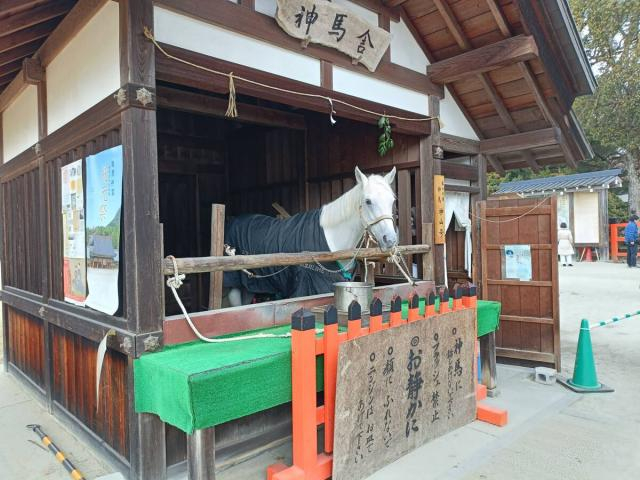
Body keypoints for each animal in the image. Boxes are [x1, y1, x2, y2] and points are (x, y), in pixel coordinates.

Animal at [223, 167, 398, 307]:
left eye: (392, 200)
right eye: (368, 201)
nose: (390, 239)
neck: (332, 242)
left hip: (250, 284)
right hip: (235, 285)